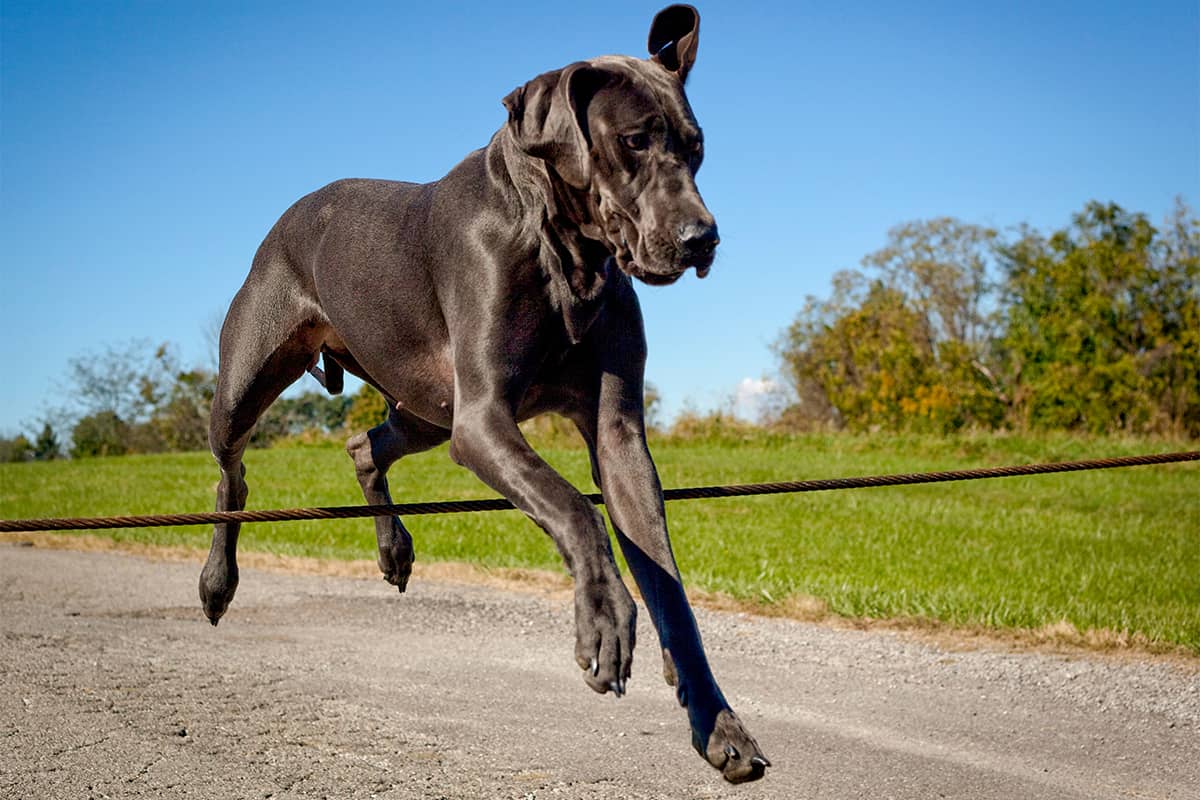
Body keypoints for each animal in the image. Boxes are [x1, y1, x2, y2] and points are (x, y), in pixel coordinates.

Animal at [199, 4, 768, 782]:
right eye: (632, 141)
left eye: (696, 147)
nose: (701, 238)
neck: (566, 251)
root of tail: (295, 209)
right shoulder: (484, 419)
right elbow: (572, 506)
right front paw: (604, 618)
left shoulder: (614, 433)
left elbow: (668, 585)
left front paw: (719, 723)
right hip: (254, 381)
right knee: (233, 476)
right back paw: (217, 582)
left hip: (425, 408)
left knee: (363, 444)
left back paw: (393, 548)